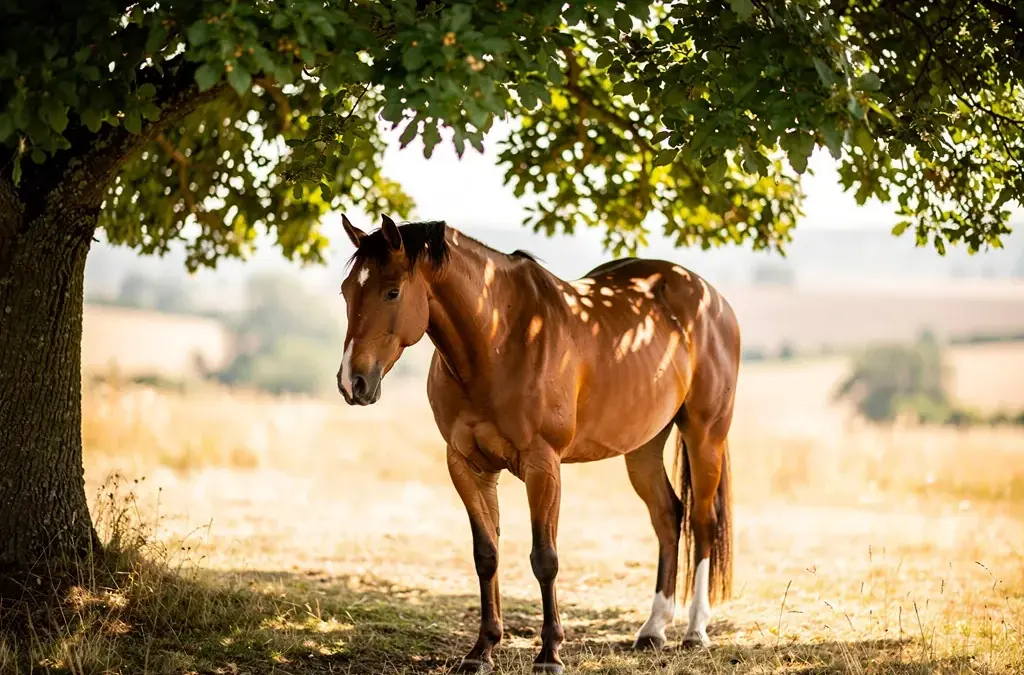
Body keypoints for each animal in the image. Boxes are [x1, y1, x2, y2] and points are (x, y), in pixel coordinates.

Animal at [337, 214, 740, 674]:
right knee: (669, 517)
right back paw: (653, 630)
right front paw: (481, 650)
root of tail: (710, 298)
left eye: (392, 291)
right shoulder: (467, 465)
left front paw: (549, 653)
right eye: (346, 290)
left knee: (702, 522)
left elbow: (545, 558)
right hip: (643, 447)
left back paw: (695, 631)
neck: (500, 340)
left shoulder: (542, 466)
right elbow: (486, 554)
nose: (352, 382)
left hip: (705, 434)